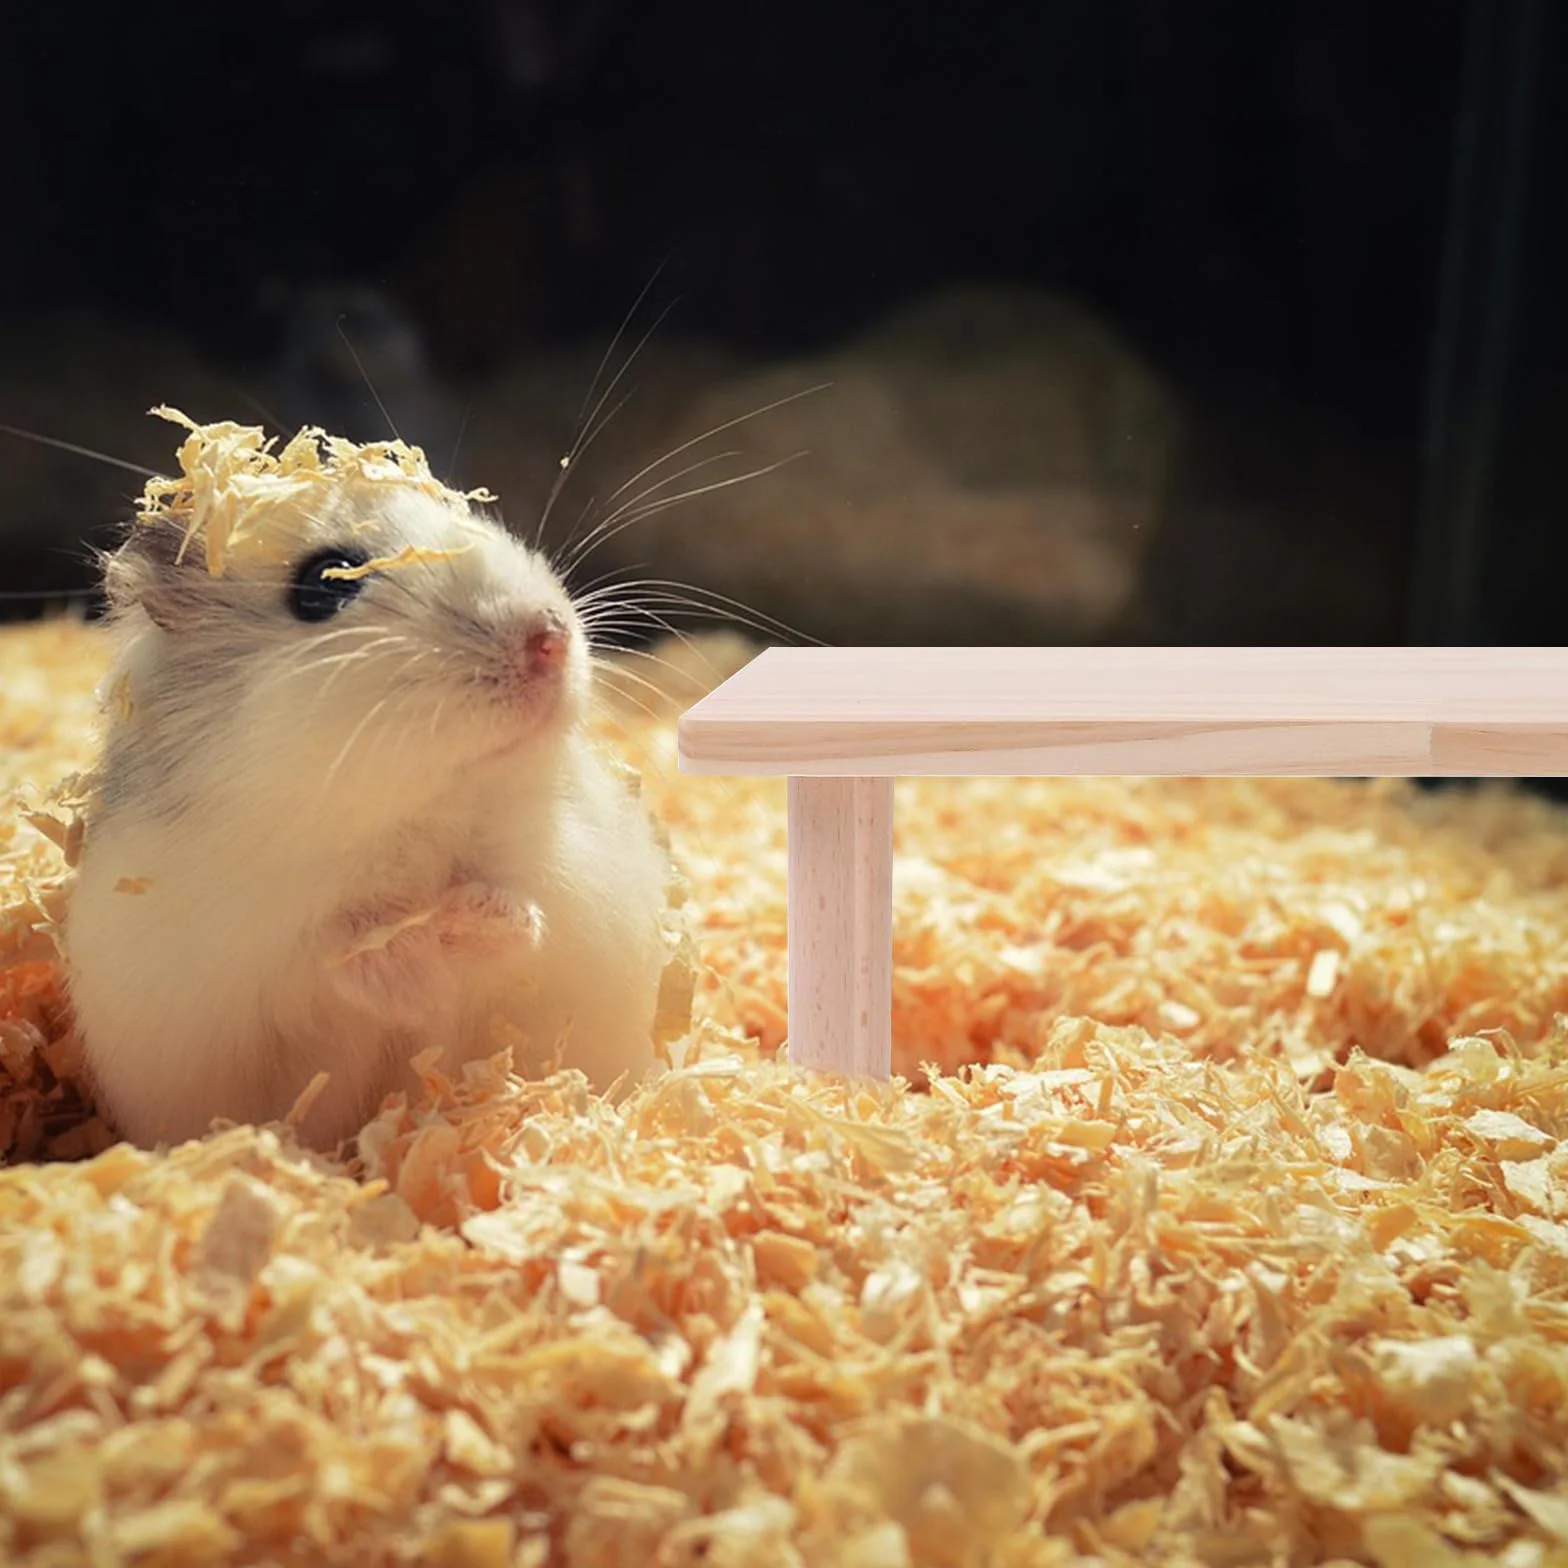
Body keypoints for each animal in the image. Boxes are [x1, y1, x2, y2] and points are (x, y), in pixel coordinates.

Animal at [63, 413, 674, 1152]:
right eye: (325, 584)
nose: (550, 639)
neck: (412, 818)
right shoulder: (249, 949)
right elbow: (335, 957)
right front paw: (410, 959)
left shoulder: (570, 877)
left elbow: (521, 910)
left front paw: (472, 921)